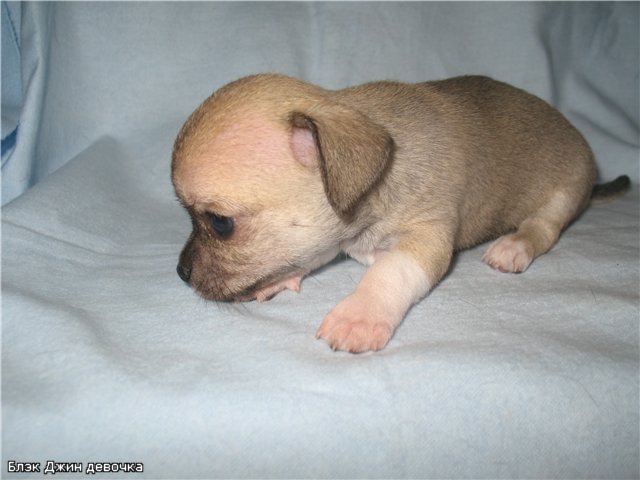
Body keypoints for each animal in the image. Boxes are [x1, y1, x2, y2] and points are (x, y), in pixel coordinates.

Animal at [171, 74, 630, 353]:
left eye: (220, 223)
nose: (180, 272)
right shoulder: (334, 235)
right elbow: (312, 253)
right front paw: (281, 276)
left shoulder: (427, 239)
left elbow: (389, 271)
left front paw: (359, 314)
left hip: (562, 193)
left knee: (544, 228)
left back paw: (514, 245)